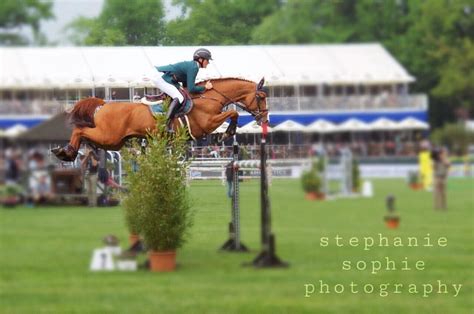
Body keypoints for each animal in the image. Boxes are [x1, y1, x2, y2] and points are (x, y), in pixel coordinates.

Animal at [52, 76, 268, 162]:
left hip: (113, 141)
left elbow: (232, 114)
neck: (210, 96)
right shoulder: (206, 125)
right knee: (80, 130)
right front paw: (227, 133)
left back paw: (67, 152)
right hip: (110, 136)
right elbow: (233, 114)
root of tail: (103, 104)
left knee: (86, 136)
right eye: (261, 97)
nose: (264, 119)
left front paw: (228, 133)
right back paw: (66, 152)